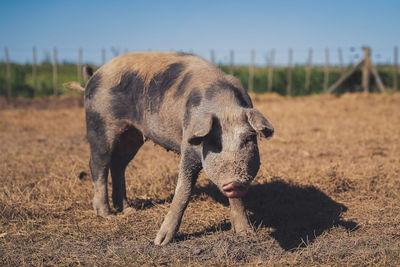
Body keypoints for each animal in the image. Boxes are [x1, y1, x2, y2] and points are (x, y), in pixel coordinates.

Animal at [64, 51, 274, 246]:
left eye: (249, 139)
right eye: (215, 142)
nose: (234, 183)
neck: (225, 107)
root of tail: (94, 76)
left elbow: (236, 199)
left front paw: (246, 234)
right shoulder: (187, 145)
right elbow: (183, 191)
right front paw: (160, 242)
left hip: (133, 135)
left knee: (118, 165)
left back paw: (128, 210)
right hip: (99, 125)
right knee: (98, 164)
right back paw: (106, 214)